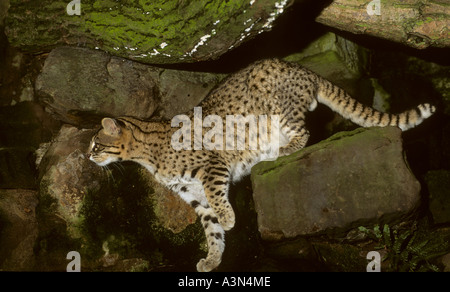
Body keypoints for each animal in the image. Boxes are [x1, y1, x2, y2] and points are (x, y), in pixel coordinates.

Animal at [86, 58, 434, 272]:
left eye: (95, 144)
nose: (87, 157)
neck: (147, 154)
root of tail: (303, 69)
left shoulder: (212, 166)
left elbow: (218, 200)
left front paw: (228, 220)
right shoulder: (192, 194)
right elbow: (210, 229)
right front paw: (212, 259)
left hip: (281, 109)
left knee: (304, 133)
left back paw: (280, 150)